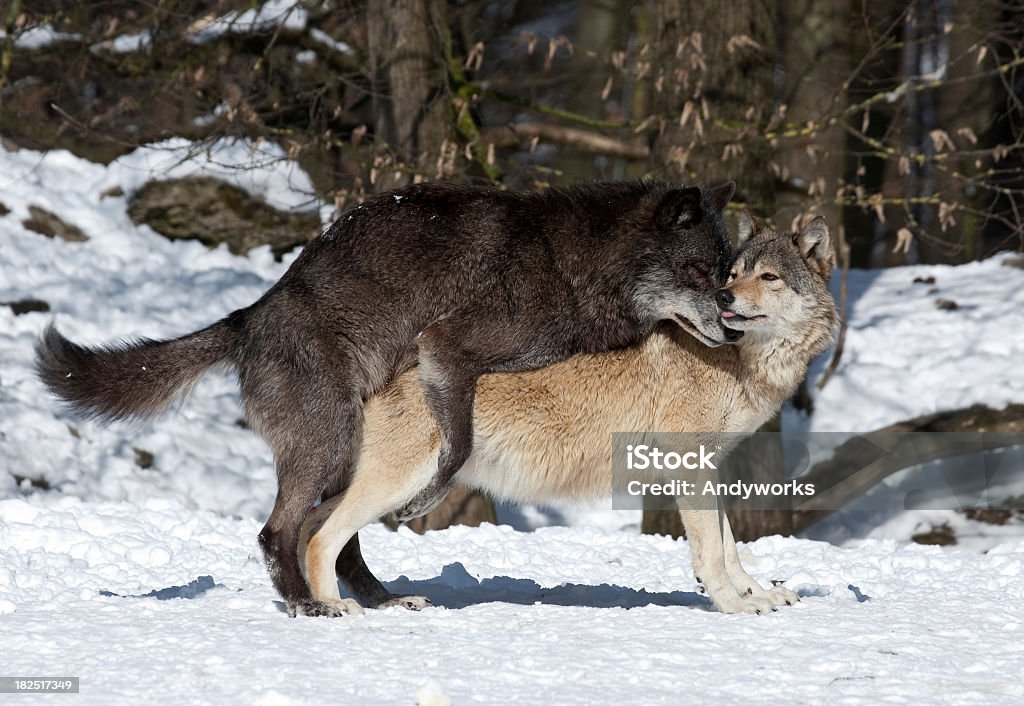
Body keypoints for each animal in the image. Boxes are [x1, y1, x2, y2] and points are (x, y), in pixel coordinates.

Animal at [299, 212, 839, 614]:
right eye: (733, 276)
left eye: (767, 277)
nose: (725, 297)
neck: (740, 360)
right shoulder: (689, 467)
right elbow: (711, 551)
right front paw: (734, 606)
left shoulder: (710, 467)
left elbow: (729, 545)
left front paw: (759, 594)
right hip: (399, 486)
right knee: (321, 539)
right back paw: (333, 608)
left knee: (309, 527)